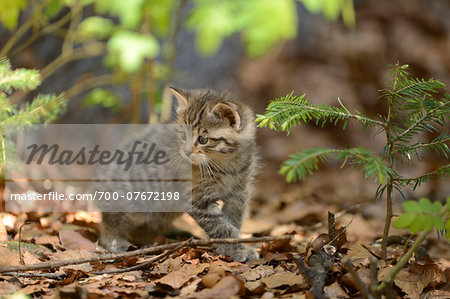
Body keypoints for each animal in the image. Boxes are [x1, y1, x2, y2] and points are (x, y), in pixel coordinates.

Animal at [100, 88, 258, 262]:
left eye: (203, 139)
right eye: (183, 136)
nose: (186, 152)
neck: (226, 165)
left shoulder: (239, 193)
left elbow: (233, 221)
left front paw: (237, 245)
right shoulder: (197, 198)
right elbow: (219, 226)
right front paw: (236, 249)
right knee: (112, 221)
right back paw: (116, 242)